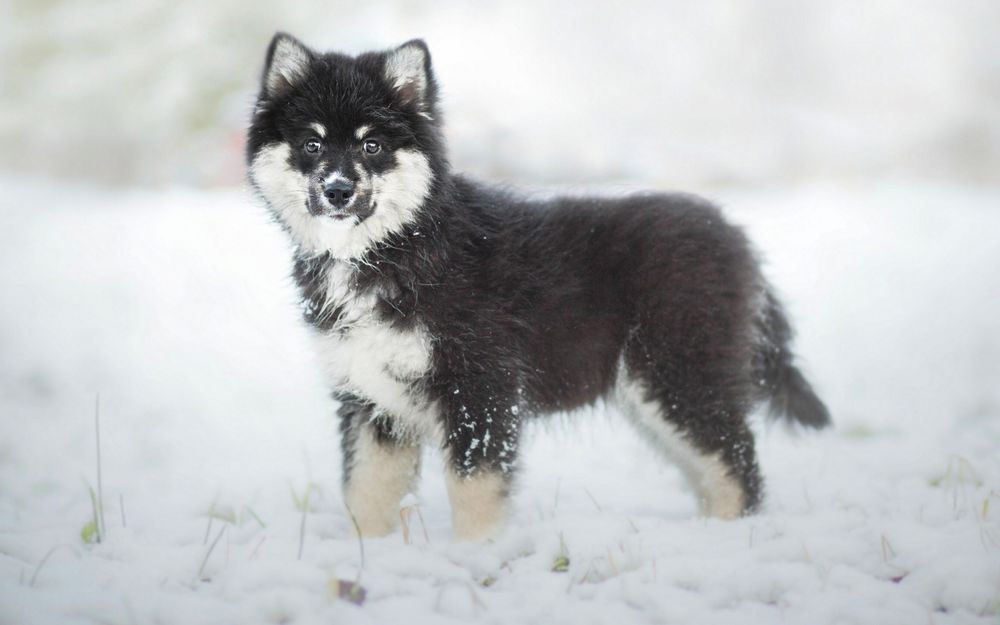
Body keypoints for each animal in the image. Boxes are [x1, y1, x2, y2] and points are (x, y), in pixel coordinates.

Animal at [244, 34, 828, 540]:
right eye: (311, 143)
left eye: (373, 145)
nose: (338, 191)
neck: (397, 247)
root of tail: (734, 236)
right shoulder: (370, 398)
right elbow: (365, 492)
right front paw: (372, 558)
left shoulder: (481, 388)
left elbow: (474, 489)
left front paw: (476, 555)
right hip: (653, 391)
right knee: (714, 466)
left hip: (678, 372)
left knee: (736, 463)